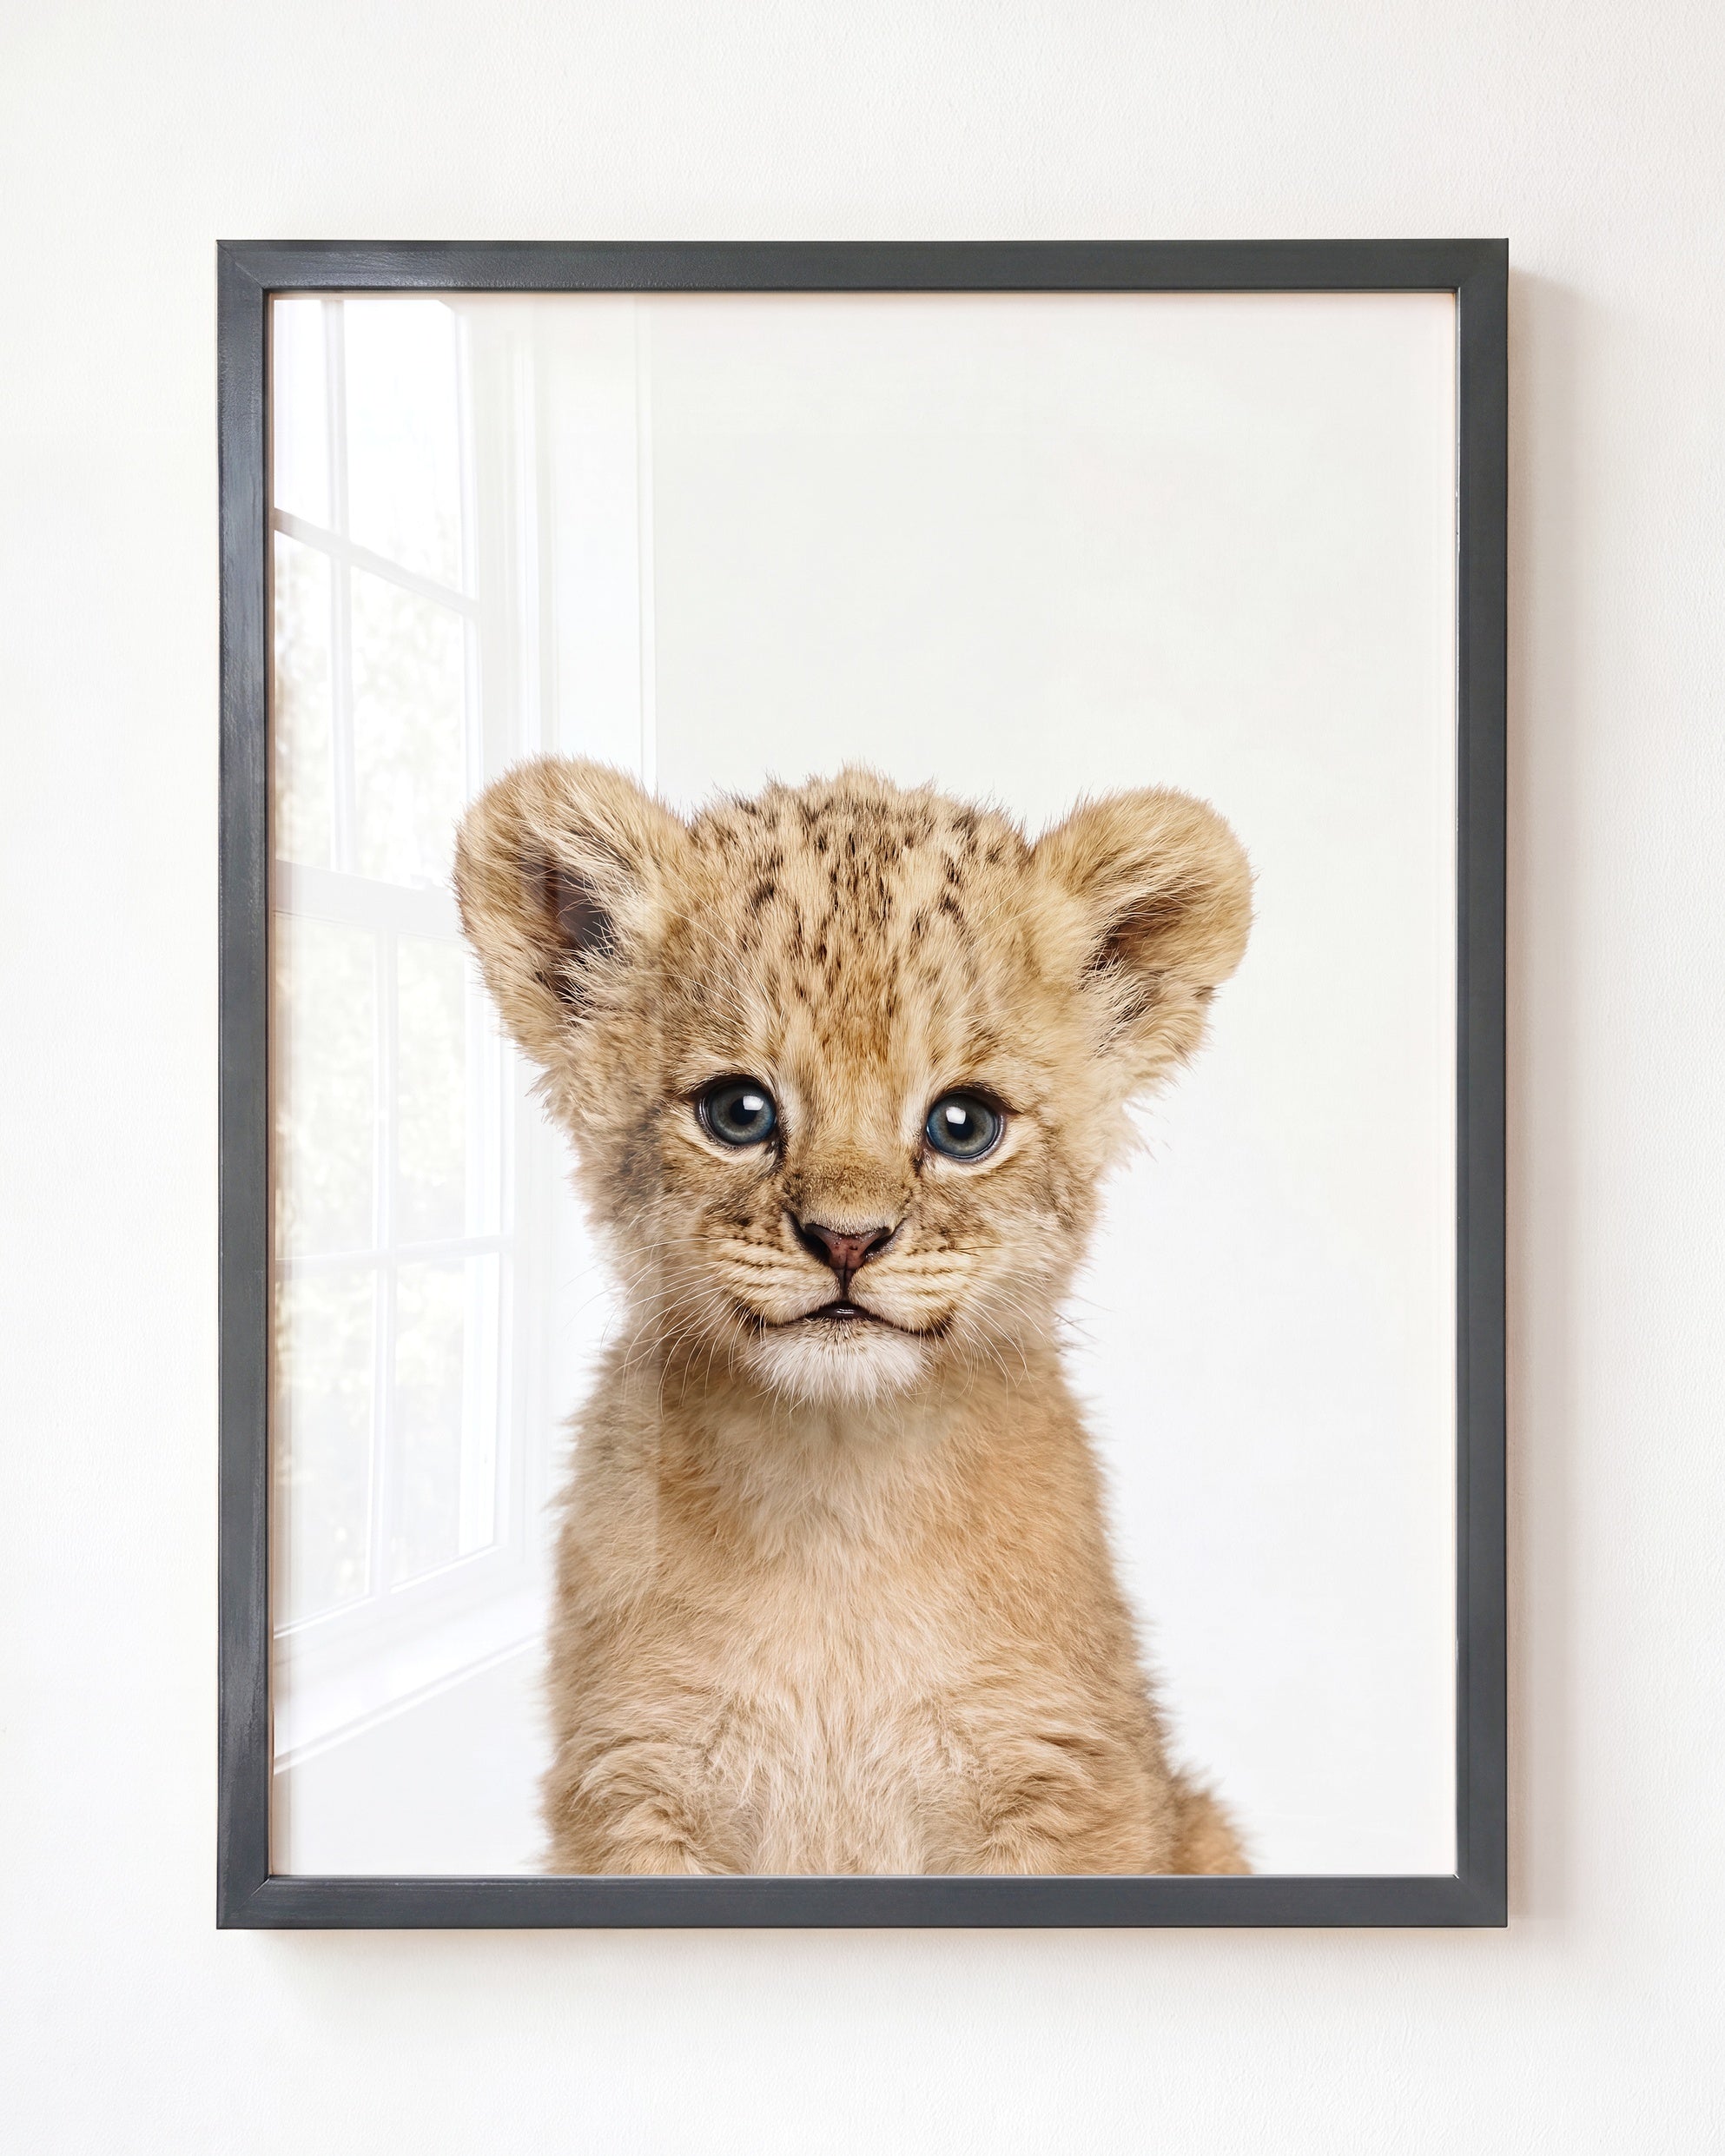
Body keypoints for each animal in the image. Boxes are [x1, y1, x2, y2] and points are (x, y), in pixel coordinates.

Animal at [454, 759, 1252, 1876]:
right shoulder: (635, 1782)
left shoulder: (1066, 1779)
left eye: (964, 1125)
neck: (837, 1500)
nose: (846, 1240)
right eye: (738, 1112)